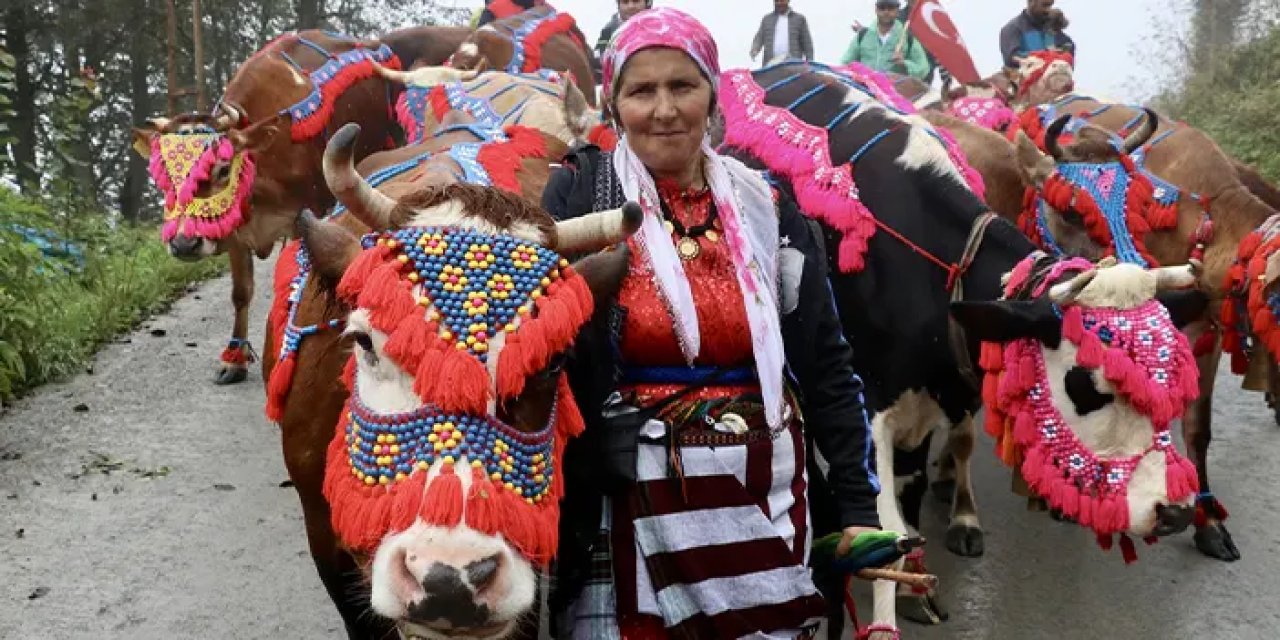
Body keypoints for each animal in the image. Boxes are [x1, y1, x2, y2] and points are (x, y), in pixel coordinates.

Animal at [721, 61, 1208, 640]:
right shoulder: (867, 408)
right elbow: (884, 525)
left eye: (1168, 375)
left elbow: (910, 504)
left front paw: (917, 587)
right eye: (1087, 385)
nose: (1175, 510)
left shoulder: (935, 398)